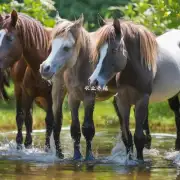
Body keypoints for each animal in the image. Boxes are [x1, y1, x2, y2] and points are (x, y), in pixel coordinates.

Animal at [0, 10, 54, 151]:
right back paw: (20, 144)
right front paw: (27, 145)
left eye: (10, 38)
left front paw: (48, 150)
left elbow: (50, 121)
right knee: (22, 117)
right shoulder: (28, 94)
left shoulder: (52, 97)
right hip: (20, 91)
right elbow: (27, 119)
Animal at [89, 19, 180, 160]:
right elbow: (127, 137)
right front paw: (129, 160)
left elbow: (139, 138)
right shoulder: (122, 102)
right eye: (99, 50)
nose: (94, 81)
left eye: (114, 50)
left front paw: (140, 161)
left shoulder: (142, 100)